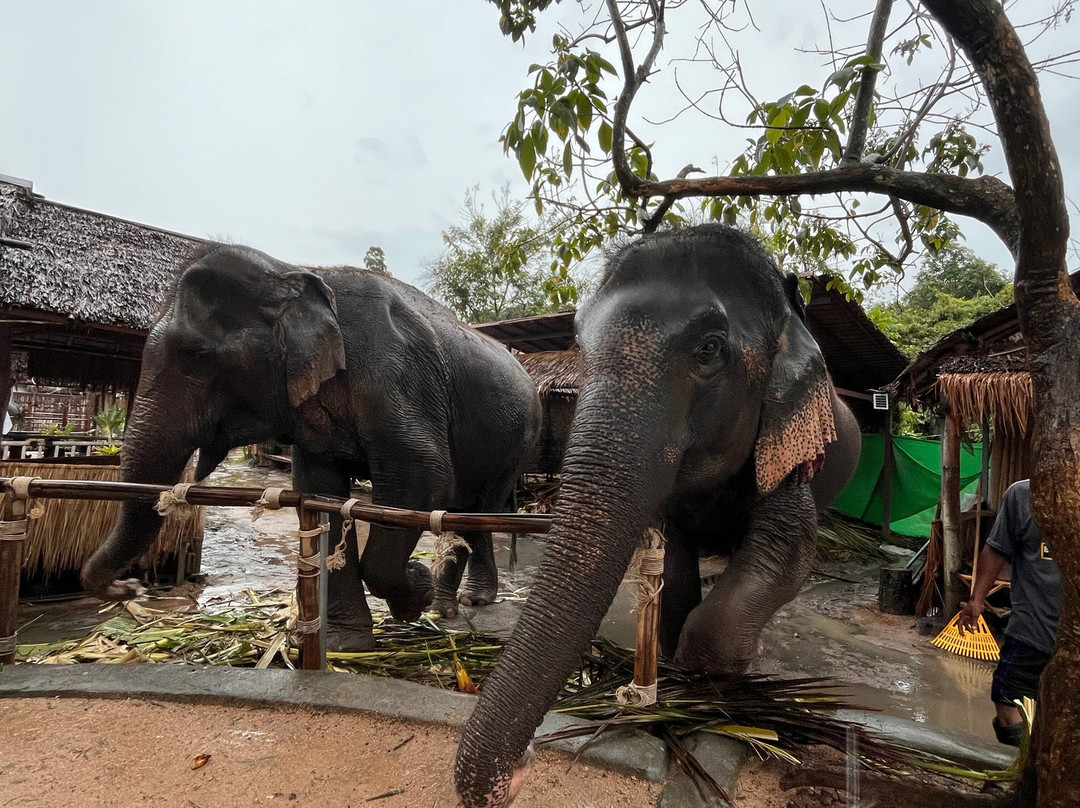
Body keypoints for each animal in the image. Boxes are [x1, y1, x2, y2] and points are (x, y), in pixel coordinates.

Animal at [81, 244, 541, 651]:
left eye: (197, 357)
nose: (131, 588)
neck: (294, 269)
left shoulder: (396, 374)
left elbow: (422, 476)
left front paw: (414, 594)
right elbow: (322, 493)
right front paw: (346, 645)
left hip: (518, 442)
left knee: (479, 510)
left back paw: (461, 602)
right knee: (467, 510)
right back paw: (451, 605)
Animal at [455, 224, 860, 807]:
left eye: (709, 349)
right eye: (580, 345)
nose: (524, 763)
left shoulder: (791, 449)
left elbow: (789, 549)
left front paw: (722, 675)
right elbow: (673, 561)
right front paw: (673, 666)